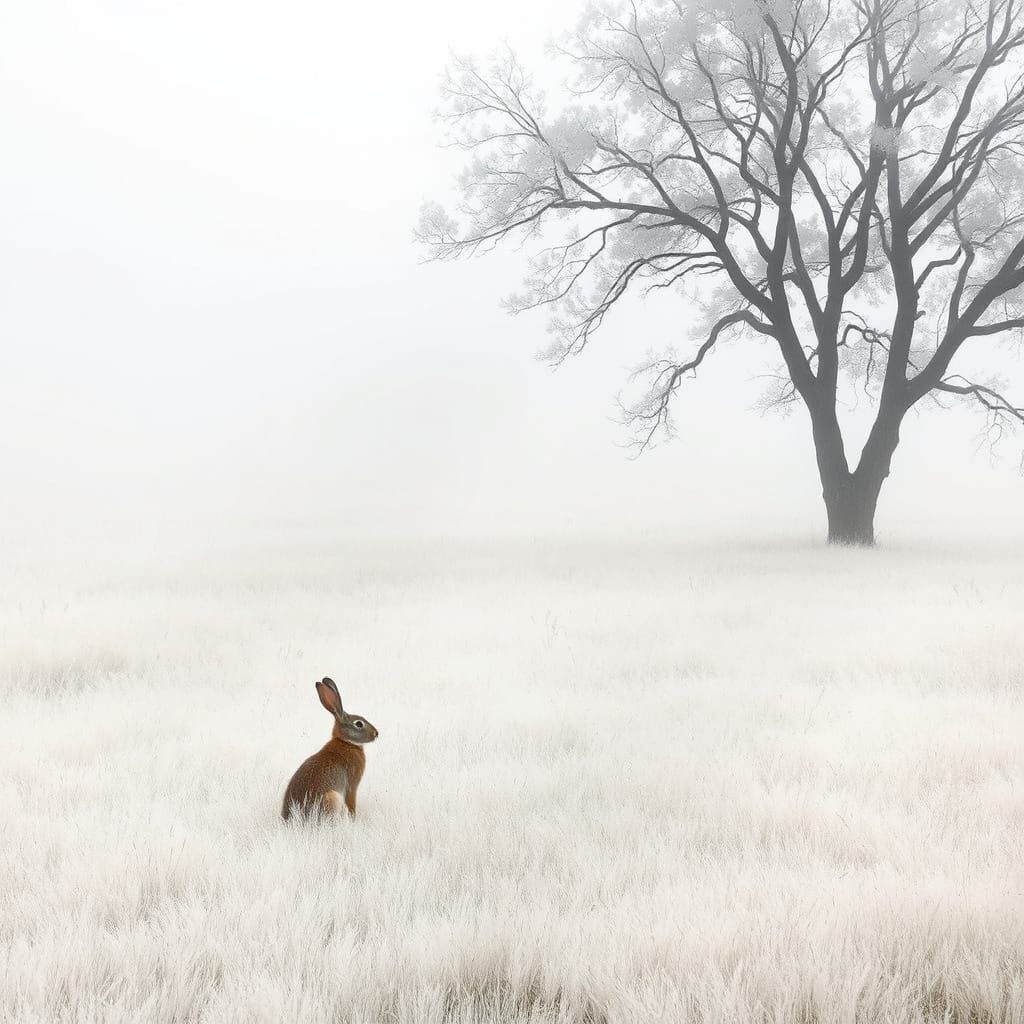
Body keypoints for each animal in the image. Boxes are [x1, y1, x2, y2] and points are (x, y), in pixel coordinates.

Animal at [281, 677, 379, 820]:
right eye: (359, 724)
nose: (376, 733)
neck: (346, 742)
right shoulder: (352, 785)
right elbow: (351, 802)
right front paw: (354, 818)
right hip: (332, 799)